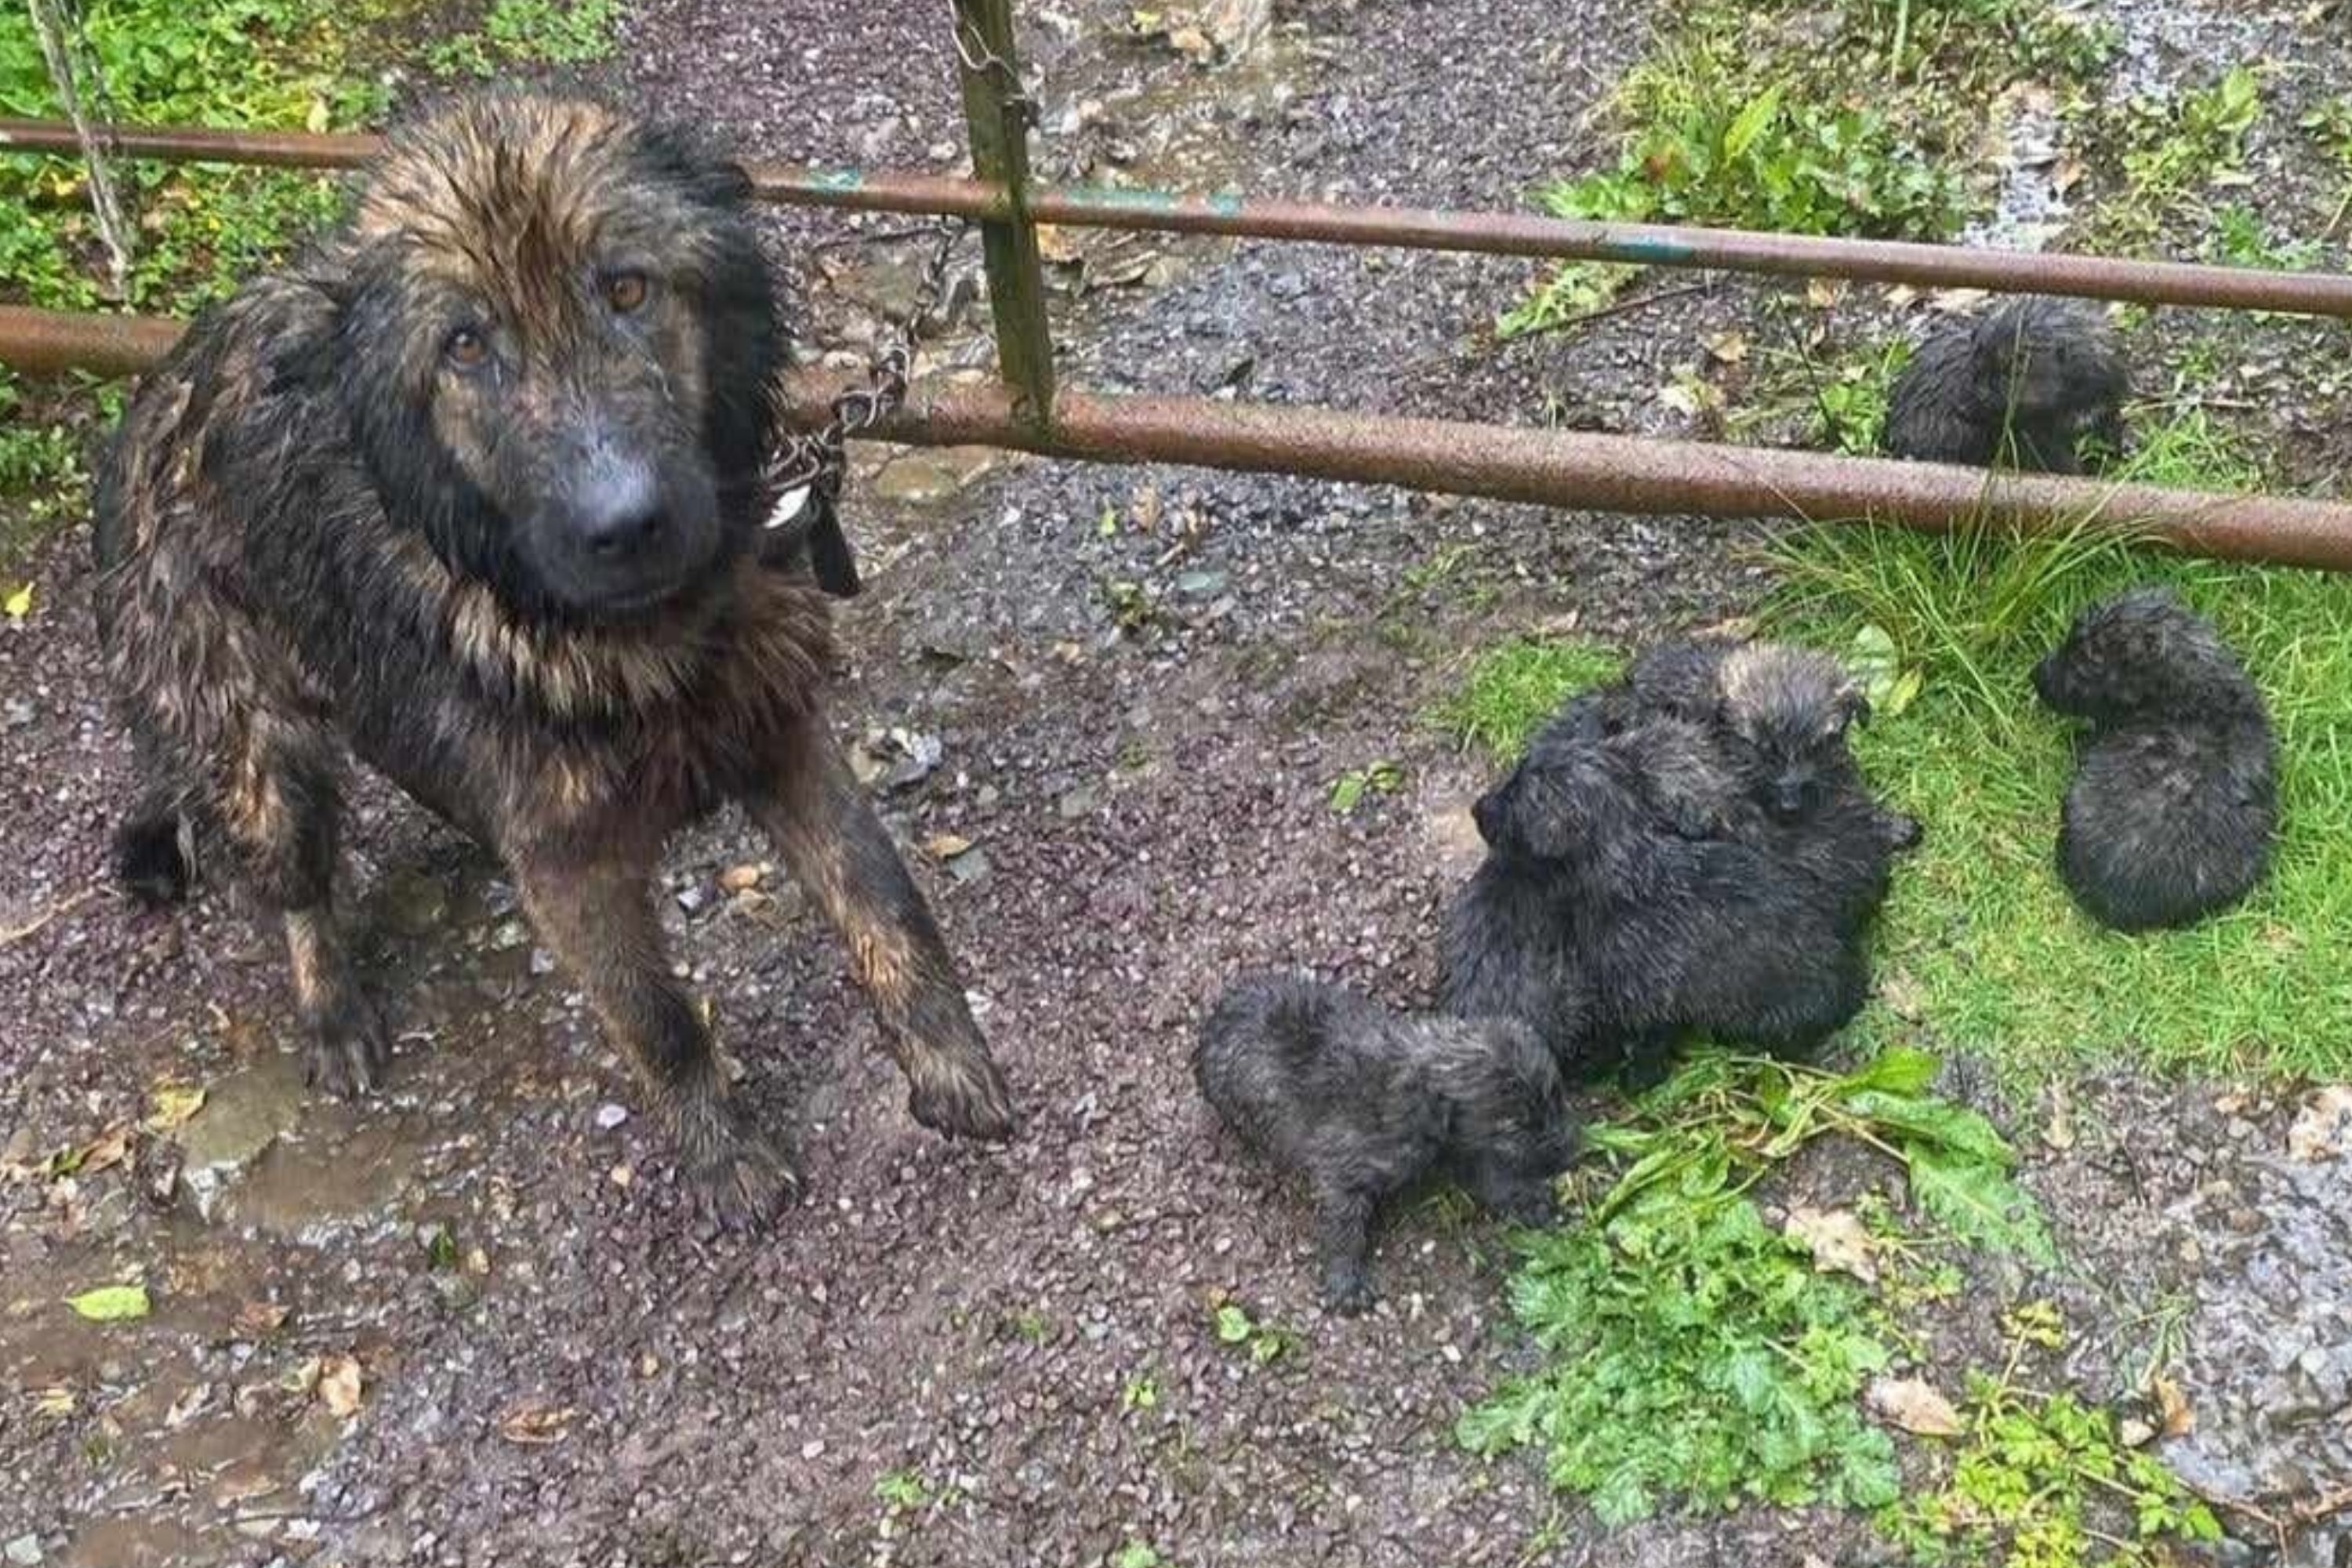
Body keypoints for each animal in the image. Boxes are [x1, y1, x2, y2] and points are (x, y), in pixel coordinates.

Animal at [94, 92, 1011, 1222]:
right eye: (463, 346)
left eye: (626, 287)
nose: (626, 524)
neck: (639, 638)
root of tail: (153, 394)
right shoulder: (572, 865)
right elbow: (660, 1020)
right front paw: (727, 1160)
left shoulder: (779, 732)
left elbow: (886, 900)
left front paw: (950, 1064)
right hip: (263, 768)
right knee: (295, 886)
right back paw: (333, 1012)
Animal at [1195, 973, 1581, 1316]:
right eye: (1517, 1126)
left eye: (1557, 1099)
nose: (1572, 1148)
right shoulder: (1344, 1169)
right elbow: (1343, 1225)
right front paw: (1346, 1280)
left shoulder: (1462, 1149)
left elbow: (1492, 1176)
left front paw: (1527, 1200)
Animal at [1872, 297, 2136, 474]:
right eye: (1974, 366)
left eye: (2010, 373)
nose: (1960, 405)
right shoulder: (2034, 434)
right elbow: (2054, 459)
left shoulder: (2105, 403)